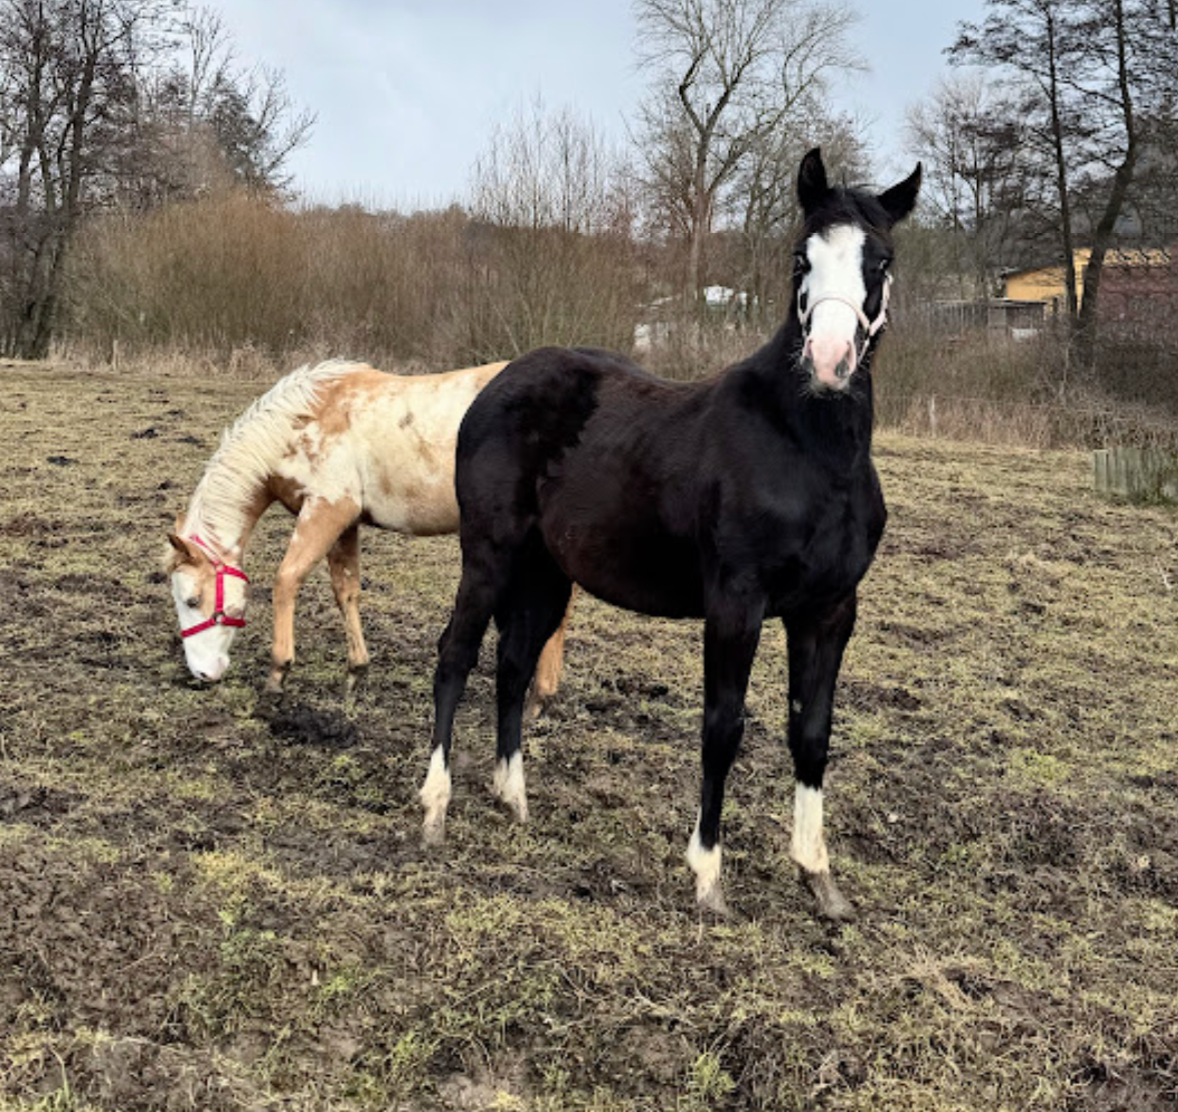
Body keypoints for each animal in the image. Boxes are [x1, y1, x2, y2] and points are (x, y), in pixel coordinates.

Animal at [164, 360, 570, 706]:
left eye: (191, 600)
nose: (203, 673)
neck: (303, 422)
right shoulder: (345, 524)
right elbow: (346, 591)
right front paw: (356, 672)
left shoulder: (326, 511)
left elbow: (286, 580)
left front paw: (278, 674)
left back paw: (539, 697)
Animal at [421, 147, 918, 918]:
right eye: (799, 258)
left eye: (881, 260)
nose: (830, 361)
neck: (809, 450)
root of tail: (497, 384)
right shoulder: (736, 604)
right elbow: (723, 726)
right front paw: (707, 876)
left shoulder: (830, 610)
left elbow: (812, 733)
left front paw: (818, 875)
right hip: (489, 555)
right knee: (456, 655)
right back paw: (436, 808)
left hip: (546, 572)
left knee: (513, 663)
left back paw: (513, 799)